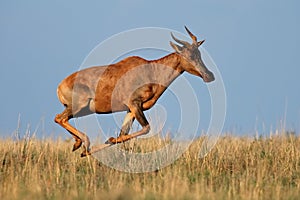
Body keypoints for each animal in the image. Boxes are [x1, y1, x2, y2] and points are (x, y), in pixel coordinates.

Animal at [54, 26, 213, 157]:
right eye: (188, 55)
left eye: (199, 54)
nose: (209, 75)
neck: (150, 70)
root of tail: (60, 85)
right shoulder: (135, 104)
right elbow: (146, 128)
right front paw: (101, 143)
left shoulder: (130, 110)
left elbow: (122, 135)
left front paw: (108, 141)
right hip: (79, 106)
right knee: (59, 118)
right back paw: (85, 144)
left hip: (80, 110)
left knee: (62, 119)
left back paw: (78, 144)